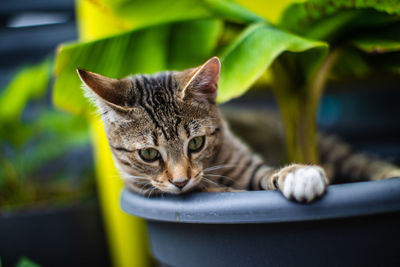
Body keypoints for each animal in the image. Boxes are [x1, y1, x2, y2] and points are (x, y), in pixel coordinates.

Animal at [78, 57, 400, 203]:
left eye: (196, 143)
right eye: (148, 154)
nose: (181, 182)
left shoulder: (249, 167)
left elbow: (268, 174)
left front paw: (298, 173)